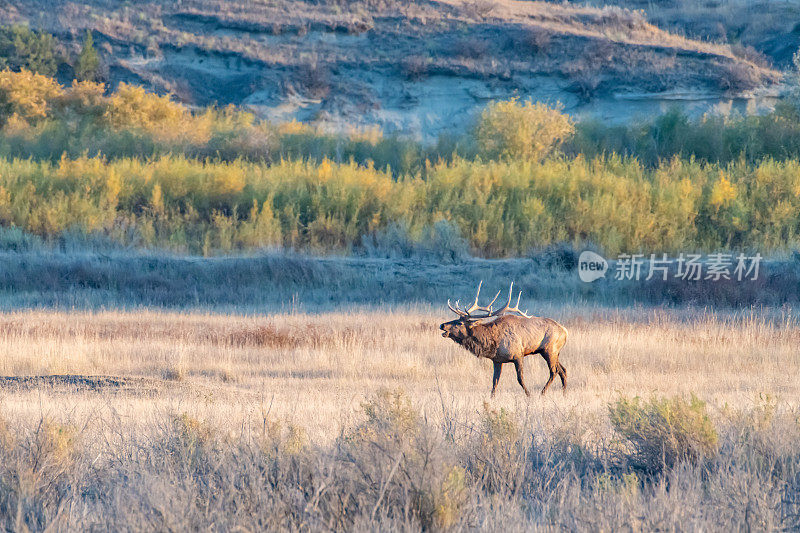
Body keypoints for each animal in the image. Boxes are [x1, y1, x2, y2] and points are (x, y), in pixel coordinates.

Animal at [438, 282, 568, 394]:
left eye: (459, 323)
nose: (442, 325)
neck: (491, 342)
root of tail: (565, 331)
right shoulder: (497, 360)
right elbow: (494, 382)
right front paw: (491, 398)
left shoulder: (518, 355)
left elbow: (520, 379)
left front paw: (529, 395)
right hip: (553, 352)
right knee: (563, 370)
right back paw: (564, 393)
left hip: (549, 350)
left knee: (554, 371)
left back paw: (542, 392)